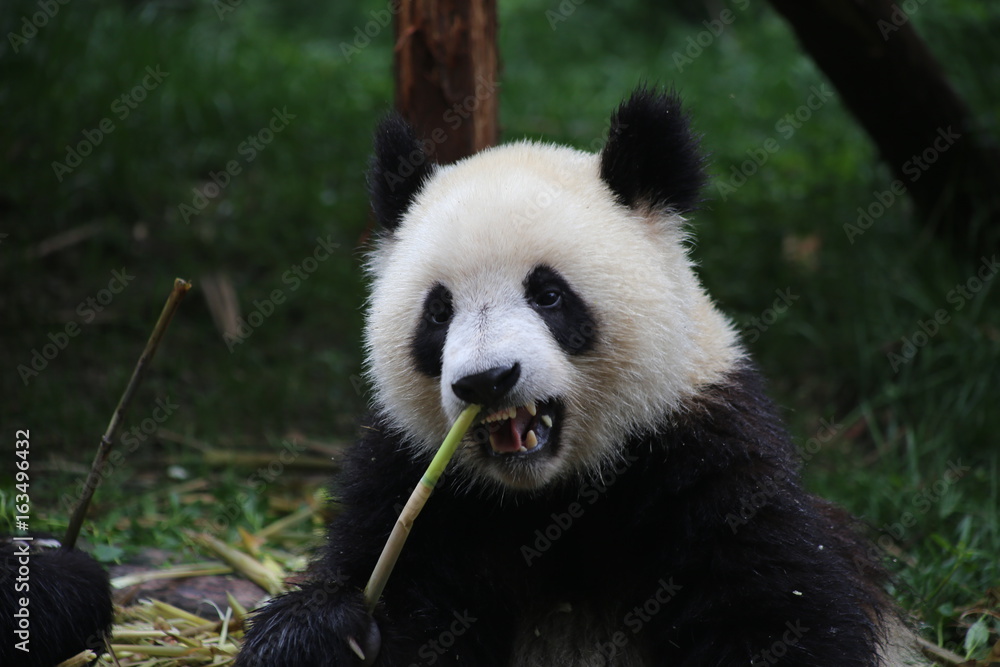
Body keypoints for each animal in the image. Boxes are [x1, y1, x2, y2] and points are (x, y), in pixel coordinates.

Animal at [237, 88, 923, 666]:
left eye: (548, 295)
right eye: (438, 312)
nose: (487, 380)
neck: (550, 497)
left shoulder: (708, 458)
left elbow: (778, 613)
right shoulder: (413, 481)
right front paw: (319, 632)